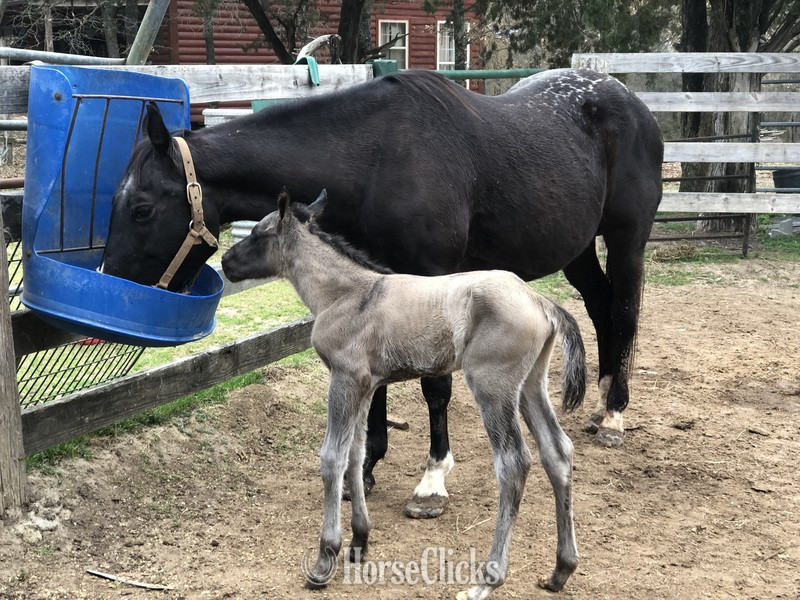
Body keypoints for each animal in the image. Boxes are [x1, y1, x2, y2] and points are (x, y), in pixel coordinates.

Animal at [101, 68, 663, 518]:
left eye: (142, 208)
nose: (115, 284)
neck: (376, 158)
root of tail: (629, 100)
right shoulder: (379, 280)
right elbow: (376, 387)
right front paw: (366, 467)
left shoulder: (433, 278)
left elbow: (435, 386)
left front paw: (432, 481)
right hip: (578, 249)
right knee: (600, 307)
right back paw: (601, 401)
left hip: (626, 240)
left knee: (624, 310)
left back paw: (615, 411)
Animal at [221, 189, 587, 599]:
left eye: (258, 234)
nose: (225, 262)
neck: (347, 295)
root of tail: (541, 302)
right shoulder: (364, 386)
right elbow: (355, 453)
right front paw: (359, 541)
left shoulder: (344, 379)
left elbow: (332, 457)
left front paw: (325, 558)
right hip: (531, 385)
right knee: (557, 451)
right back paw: (561, 570)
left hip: (493, 386)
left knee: (514, 463)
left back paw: (486, 580)